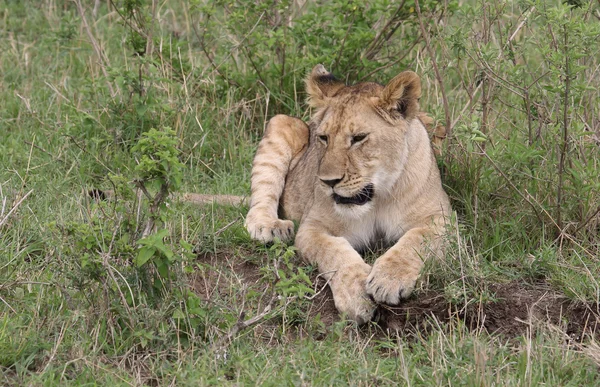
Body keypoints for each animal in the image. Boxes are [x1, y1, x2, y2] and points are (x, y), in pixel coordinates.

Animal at [244, 64, 450, 324]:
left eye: (359, 138)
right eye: (323, 138)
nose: (328, 182)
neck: (377, 198)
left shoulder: (441, 216)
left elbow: (416, 241)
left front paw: (388, 279)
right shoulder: (312, 227)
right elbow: (332, 251)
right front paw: (357, 294)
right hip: (282, 122)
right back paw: (269, 227)